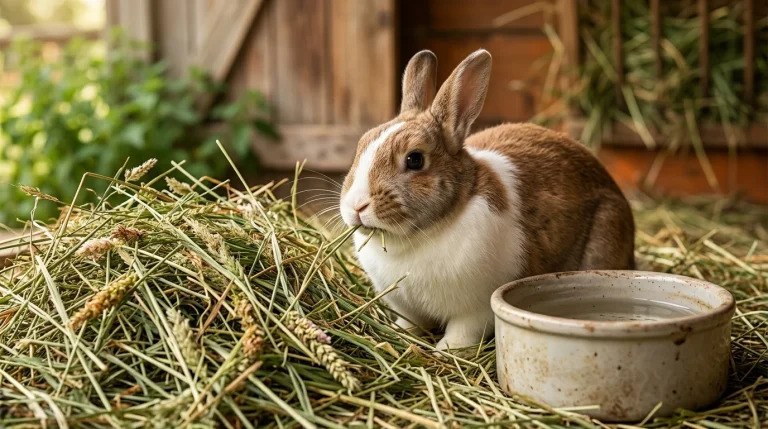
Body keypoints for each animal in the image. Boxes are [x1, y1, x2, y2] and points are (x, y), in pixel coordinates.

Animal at [339, 49, 635, 351]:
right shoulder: (407, 307)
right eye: (361, 144)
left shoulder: (474, 311)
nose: (357, 206)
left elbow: (462, 332)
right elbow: (410, 323)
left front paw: (447, 350)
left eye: (415, 159)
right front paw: (396, 335)